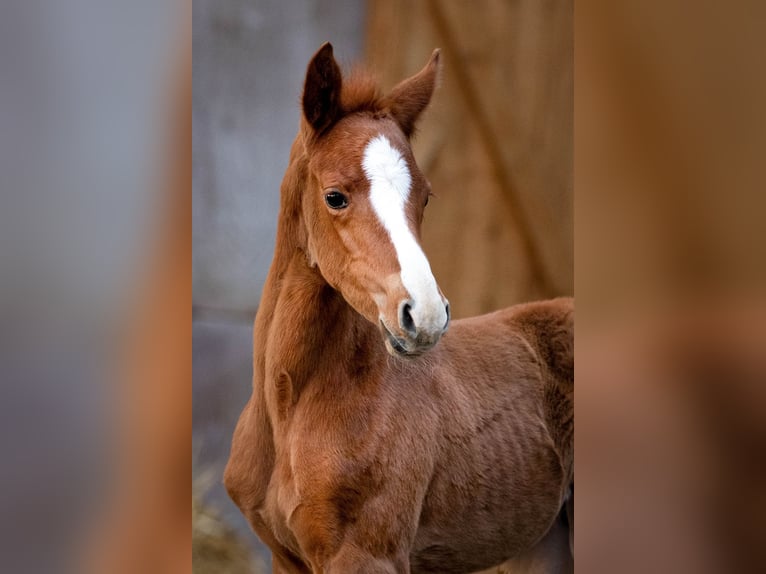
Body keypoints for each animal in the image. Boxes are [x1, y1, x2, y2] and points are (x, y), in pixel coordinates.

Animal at [225, 42, 572, 572]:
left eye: (425, 197)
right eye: (334, 196)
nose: (424, 316)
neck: (291, 412)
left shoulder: (367, 555)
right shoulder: (283, 557)